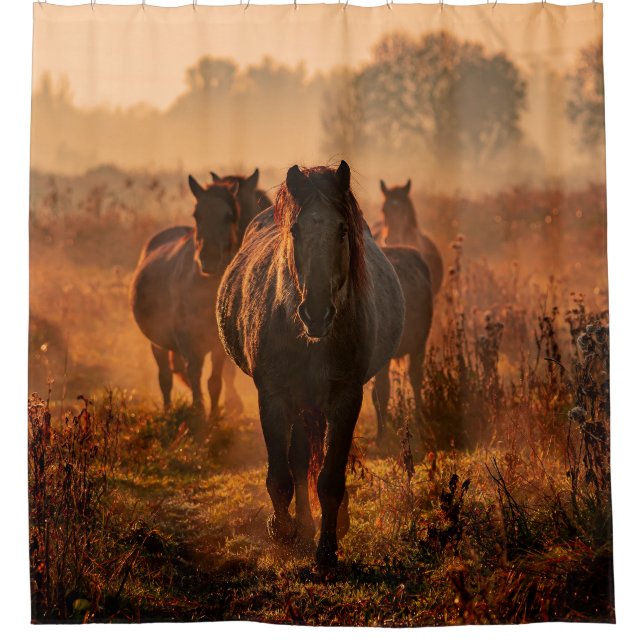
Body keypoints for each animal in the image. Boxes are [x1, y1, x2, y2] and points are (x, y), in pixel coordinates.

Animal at [130, 175, 242, 422]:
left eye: (228, 215)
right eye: (197, 214)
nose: (209, 259)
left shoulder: (218, 346)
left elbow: (214, 381)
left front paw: (213, 416)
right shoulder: (190, 342)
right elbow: (195, 375)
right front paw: (198, 414)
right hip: (157, 342)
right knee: (165, 378)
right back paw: (168, 410)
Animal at [217, 162, 405, 566]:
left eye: (343, 229)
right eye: (296, 230)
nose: (316, 313)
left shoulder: (346, 398)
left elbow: (331, 477)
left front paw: (327, 549)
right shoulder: (272, 397)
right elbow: (282, 476)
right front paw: (283, 531)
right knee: (299, 461)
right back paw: (299, 527)